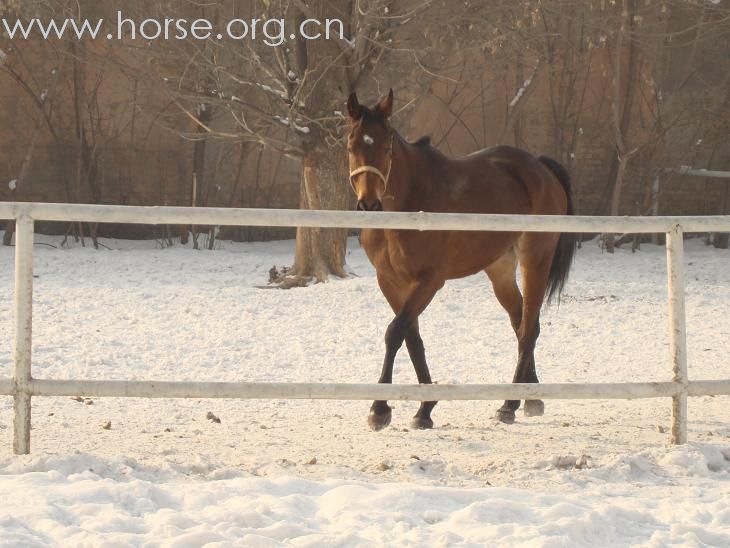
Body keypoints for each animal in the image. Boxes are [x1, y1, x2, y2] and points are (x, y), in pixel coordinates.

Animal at [346, 90, 576, 430]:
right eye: (351, 147)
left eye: (386, 148)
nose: (369, 204)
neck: (413, 199)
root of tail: (541, 169)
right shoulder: (389, 282)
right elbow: (412, 339)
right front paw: (425, 408)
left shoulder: (429, 281)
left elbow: (395, 332)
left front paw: (381, 409)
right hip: (499, 269)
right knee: (520, 321)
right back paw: (530, 398)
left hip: (535, 259)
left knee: (528, 329)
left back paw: (509, 404)